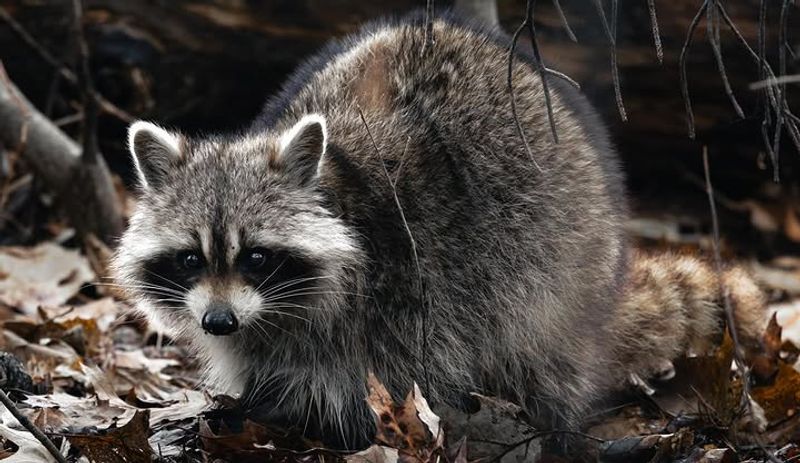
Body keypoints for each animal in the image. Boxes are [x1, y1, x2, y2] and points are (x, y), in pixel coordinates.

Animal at [112, 14, 767, 448]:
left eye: (255, 257)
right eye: (190, 259)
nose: (217, 322)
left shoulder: (408, 284)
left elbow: (397, 374)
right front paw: (252, 400)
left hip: (559, 258)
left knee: (535, 343)